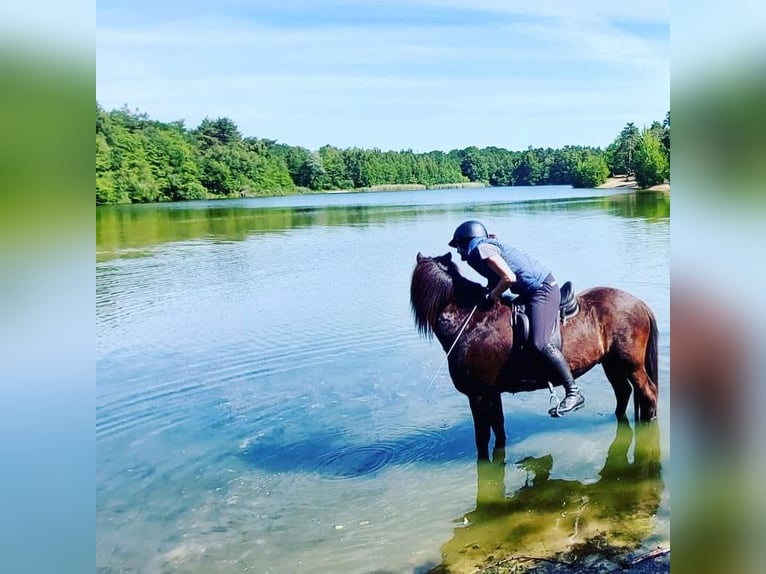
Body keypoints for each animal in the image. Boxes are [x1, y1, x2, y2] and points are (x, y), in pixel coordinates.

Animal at [410, 252, 659, 459]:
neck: (472, 323)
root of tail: (640, 304)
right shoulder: (491, 394)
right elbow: (498, 428)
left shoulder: (478, 396)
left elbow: (482, 439)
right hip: (611, 364)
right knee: (624, 392)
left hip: (631, 364)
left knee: (648, 392)